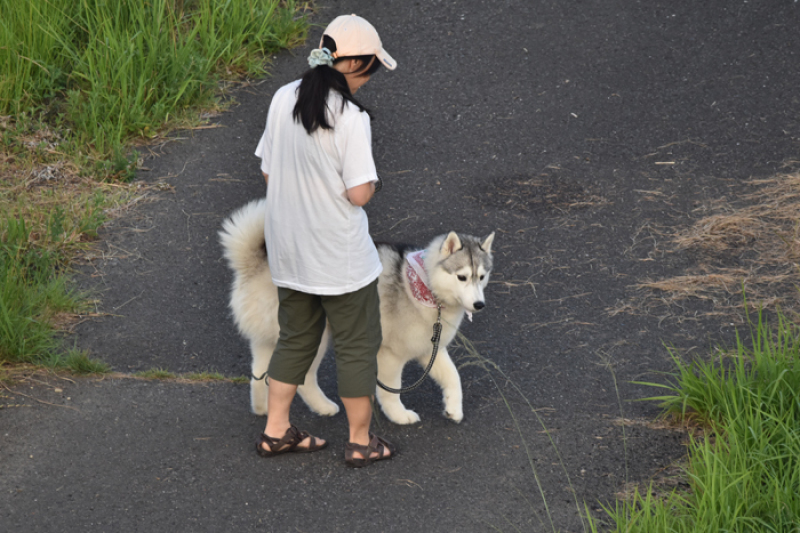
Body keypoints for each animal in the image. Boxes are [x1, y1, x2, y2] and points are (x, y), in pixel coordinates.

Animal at [219, 197, 494, 426]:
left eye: (481, 277)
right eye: (462, 277)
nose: (479, 305)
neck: (425, 286)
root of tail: (254, 264)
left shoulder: (430, 349)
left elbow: (453, 377)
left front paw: (453, 409)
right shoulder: (390, 355)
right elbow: (390, 389)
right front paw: (399, 415)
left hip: (270, 340)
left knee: (260, 373)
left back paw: (263, 409)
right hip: (314, 337)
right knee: (303, 379)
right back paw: (323, 407)